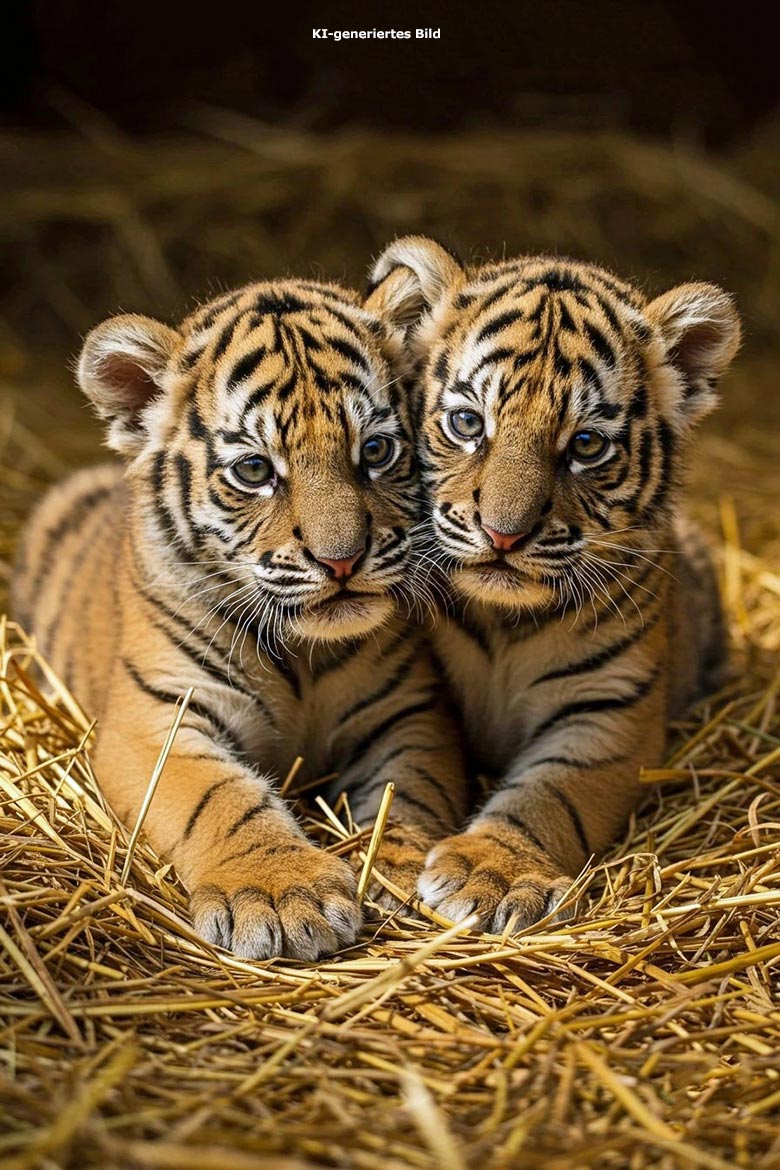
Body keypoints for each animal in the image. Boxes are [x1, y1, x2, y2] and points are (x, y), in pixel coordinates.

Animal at [12, 277, 470, 960]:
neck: (305, 651)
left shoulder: (410, 713)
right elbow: (219, 797)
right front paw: (282, 895)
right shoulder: (157, 720)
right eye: (255, 470)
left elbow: (410, 791)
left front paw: (400, 866)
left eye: (377, 450)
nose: (342, 560)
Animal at [366, 235, 740, 933]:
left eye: (586, 444)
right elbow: (409, 777)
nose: (503, 535)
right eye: (467, 424)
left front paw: (491, 874)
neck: (503, 620)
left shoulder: (608, 712)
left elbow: (548, 793)